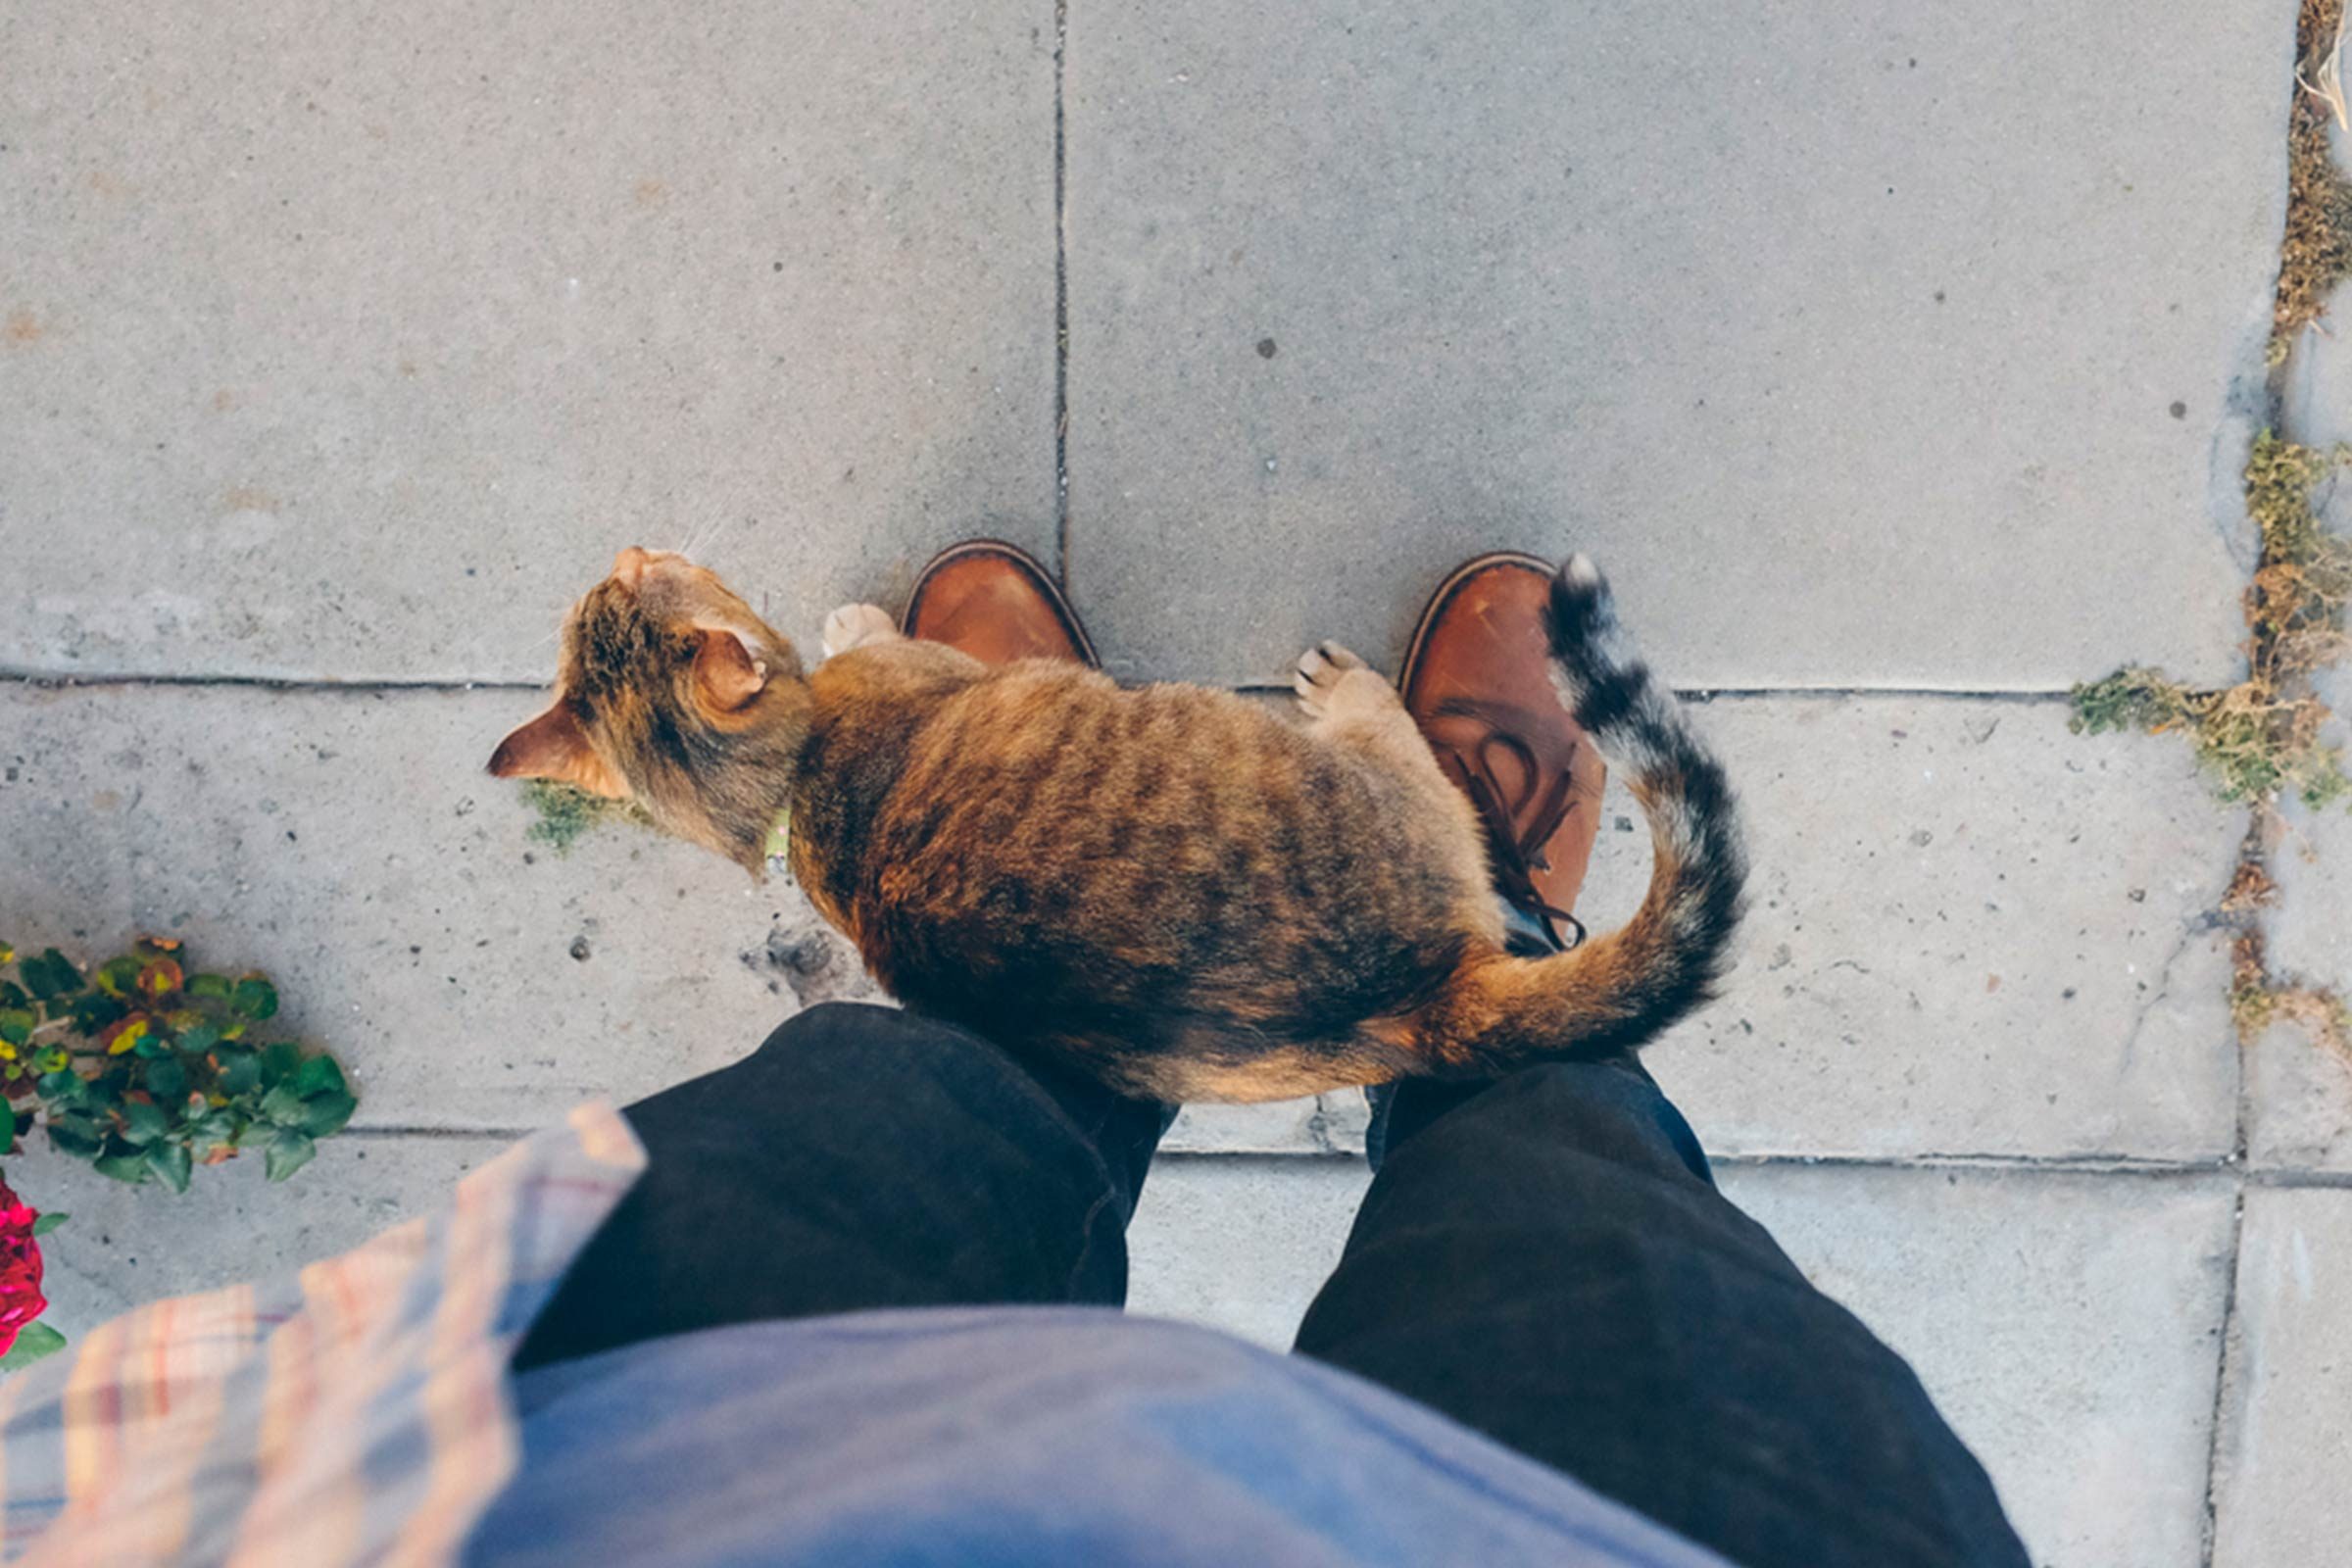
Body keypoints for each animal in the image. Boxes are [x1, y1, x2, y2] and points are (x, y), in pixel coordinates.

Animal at [491, 552, 1749, 1104]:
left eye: (625, 577)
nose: (633, 551)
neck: (796, 777)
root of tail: (1426, 989)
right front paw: (852, 619)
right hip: (1388, 780)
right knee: (1388, 727)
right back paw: (1346, 687)